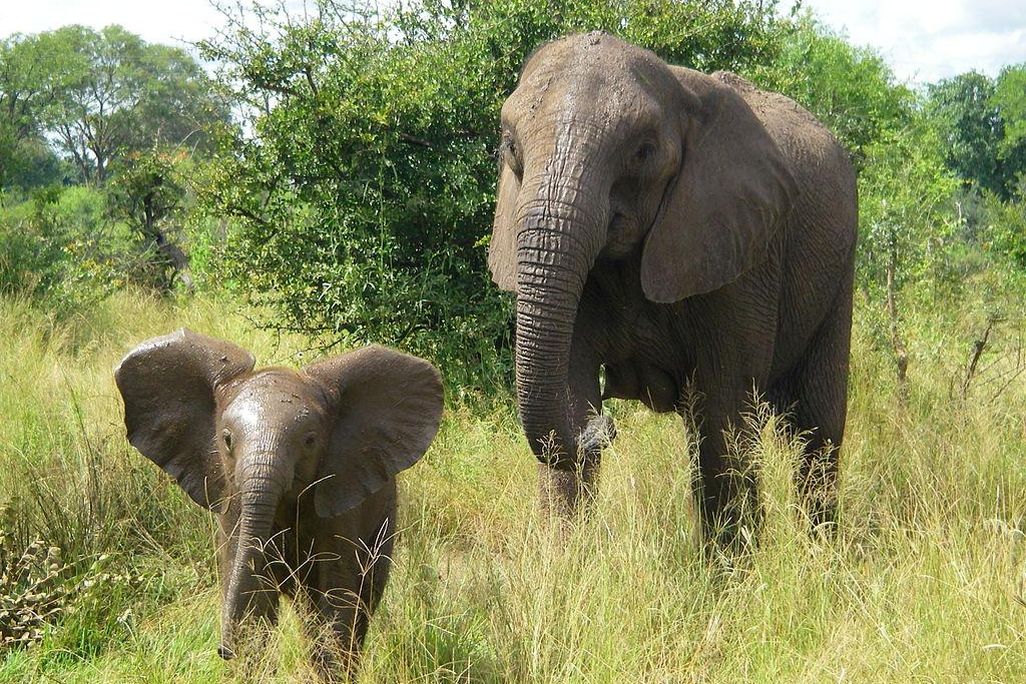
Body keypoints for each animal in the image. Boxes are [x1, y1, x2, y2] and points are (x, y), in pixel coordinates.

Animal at [114, 329, 443, 679]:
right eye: (227, 439)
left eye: (310, 441)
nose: (222, 650)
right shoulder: (233, 503)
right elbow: (255, 599)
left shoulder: (338, 502)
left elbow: (336, 597)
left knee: (361, 600)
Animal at [488, 33, 857, 544]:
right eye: (510, 147)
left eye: (643, 152)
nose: (604, 424)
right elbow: (568, 392)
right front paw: (564, 559)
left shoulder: (742, 256)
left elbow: (724, 421)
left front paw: (735, 567)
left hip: (840, 267)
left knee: (817, 427)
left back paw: (821, 551)